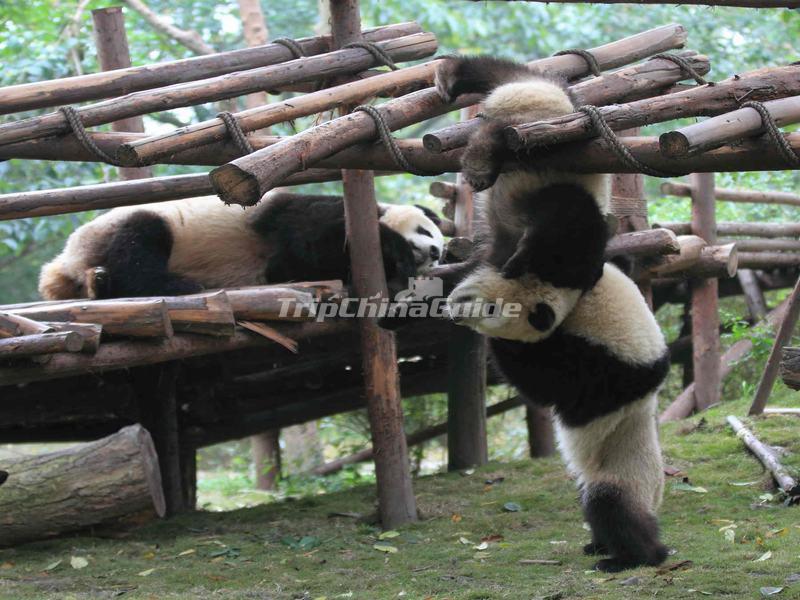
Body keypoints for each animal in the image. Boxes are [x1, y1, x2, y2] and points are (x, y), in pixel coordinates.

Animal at [38, 192, 445, 301]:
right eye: (426, 231)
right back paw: (175, 284)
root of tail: (65, 261)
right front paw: (397, 253)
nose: (435, 253)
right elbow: (308, 241)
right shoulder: (301, 211)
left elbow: (293, 268)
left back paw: (100, 284)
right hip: (118, 228)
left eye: (439, 251)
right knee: (140, 239)